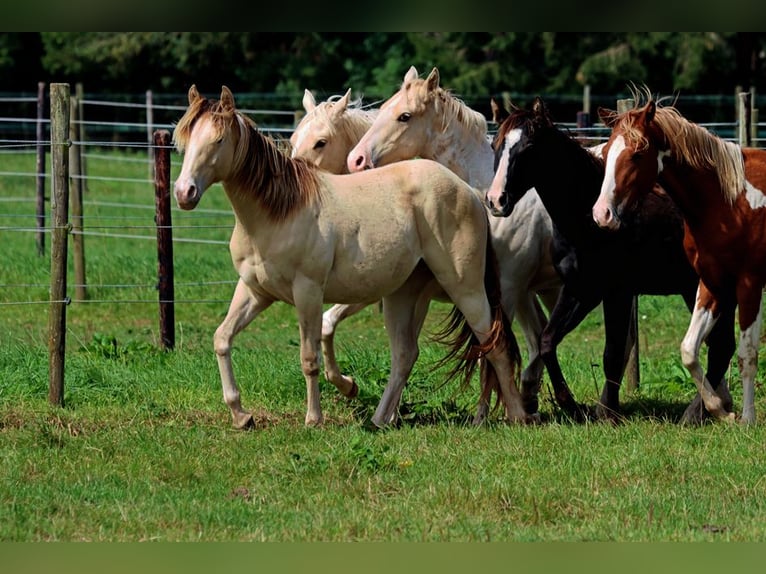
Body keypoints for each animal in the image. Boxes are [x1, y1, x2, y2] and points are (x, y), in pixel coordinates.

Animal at [174, 84, 536, 428]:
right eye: (186, 139)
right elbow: (222, 338)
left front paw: (314, 419)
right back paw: (380, 420)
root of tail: (471, 192)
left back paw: (516, 415)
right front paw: (240, 414)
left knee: (494, 344)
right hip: (403, 295)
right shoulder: (255, 291)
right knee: (406, 354)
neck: (279, 211)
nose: (184, 192)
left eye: (219, 139)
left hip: (466, 289)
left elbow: (309, 357)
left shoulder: (308, 292)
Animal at [344, 66, 560, 418]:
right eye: (385, 106)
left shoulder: (503, 289)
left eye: (405, 115)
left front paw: (484, 416)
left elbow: (490, 347)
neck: (486, 188)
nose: (356, 160)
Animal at [486, 98, 736, 424]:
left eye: (528, 147)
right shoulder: (581, 289)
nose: (496, 200)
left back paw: (697, 413)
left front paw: (608, 412)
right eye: (496, 145)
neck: (586, 218)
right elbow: (547, 341)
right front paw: (572, 406)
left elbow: (613, 352)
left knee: (721, 347)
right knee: (719, 346)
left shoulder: (617, 292)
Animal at [592, 91, 766, 428]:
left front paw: (748, 419)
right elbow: (689, 349)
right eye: (606, 153)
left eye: (637, 154)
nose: (602, 214)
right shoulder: (711, 283)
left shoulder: (750, 284)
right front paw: (719, 409)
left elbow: (747, 354)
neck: (729, 200)